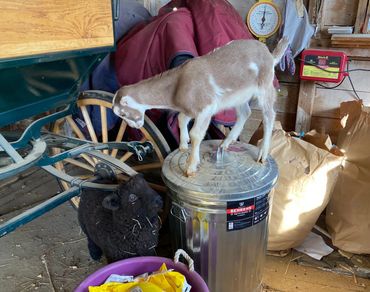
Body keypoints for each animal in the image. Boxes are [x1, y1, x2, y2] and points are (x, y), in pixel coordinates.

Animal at [112, 38, 290, 176]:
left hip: (265, 86)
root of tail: (269, 54)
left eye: (123, 113)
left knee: (269, 116)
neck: (178, 85)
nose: (135, 126)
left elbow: (196, 134)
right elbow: (181, 118)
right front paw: (183, 145)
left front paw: (191, 166)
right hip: (238, 96)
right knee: (245, 113)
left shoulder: (206, 108)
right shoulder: (190, 109)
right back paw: (226, 143)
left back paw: (262, 154)